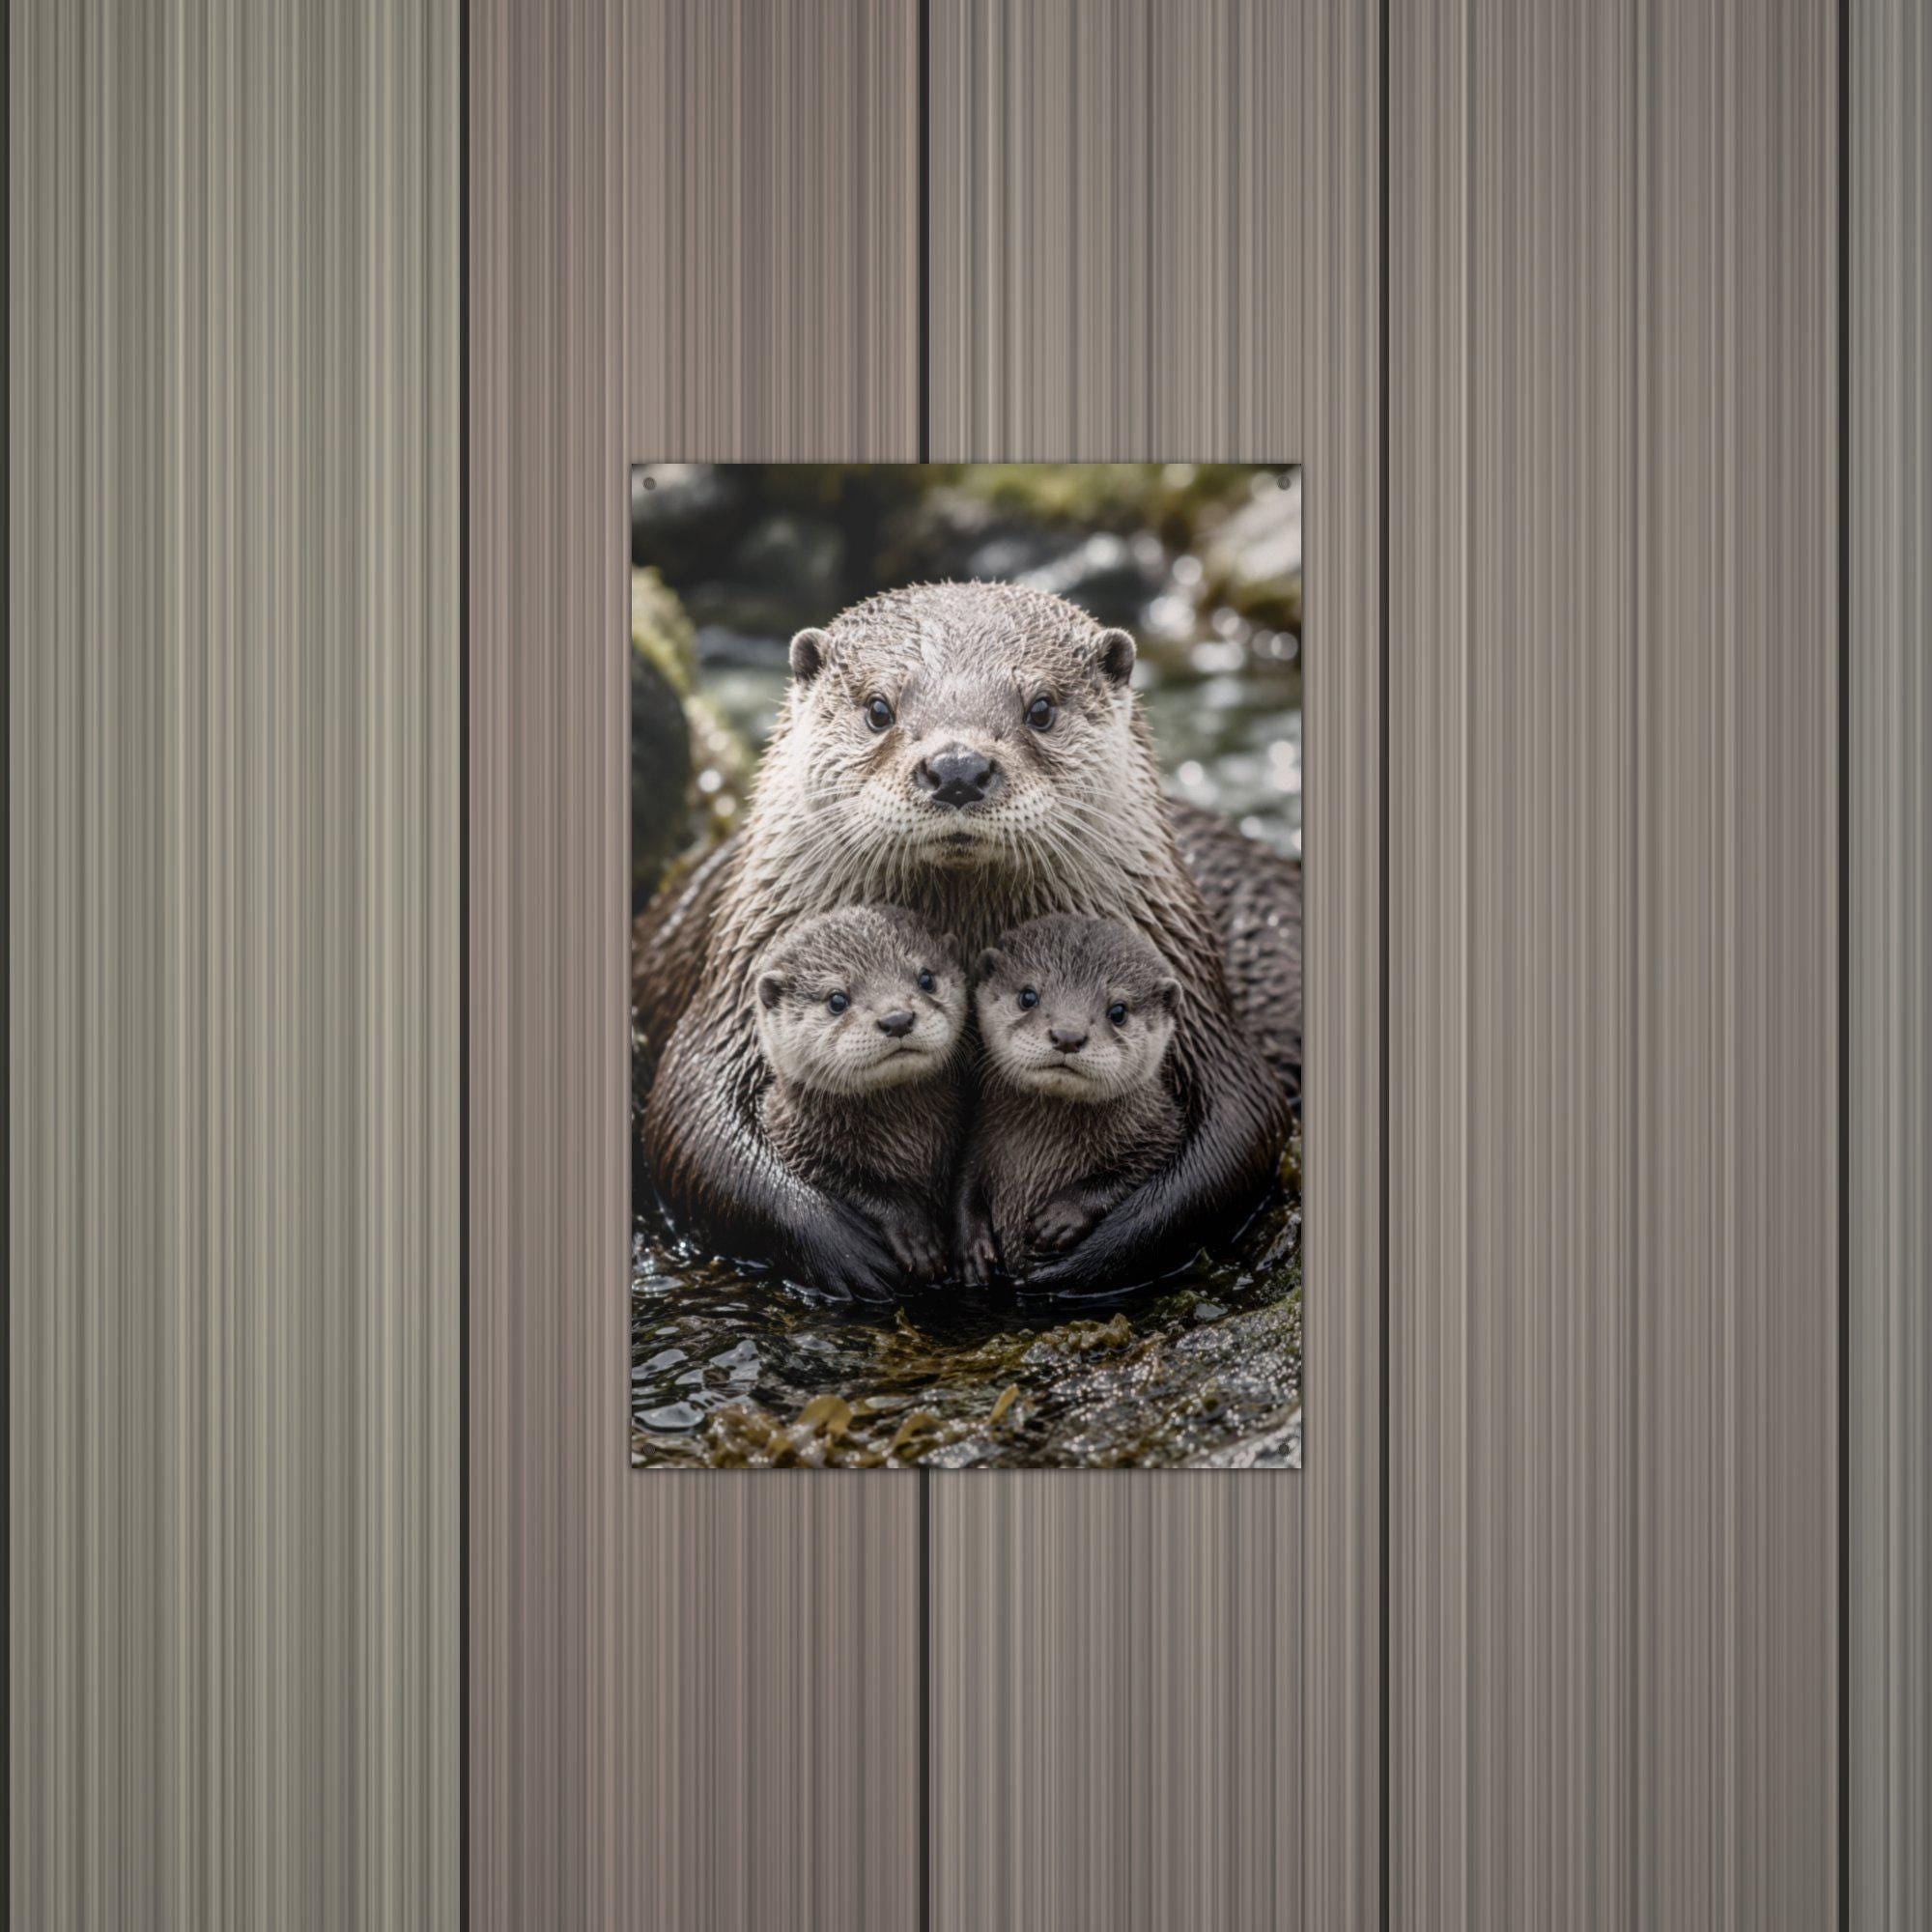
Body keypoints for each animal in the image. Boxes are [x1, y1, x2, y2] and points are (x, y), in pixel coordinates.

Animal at [753, 906, 966, 1283]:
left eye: (926, 978)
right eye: (837, 999)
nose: (897, 1018)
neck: (908, 1141)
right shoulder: (796, 1143)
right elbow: (855, 1186)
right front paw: (915, 1235)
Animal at [954, 916, 1186, 1284]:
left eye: (1118, 1011)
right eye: (1028, 996)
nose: (1067, 1035)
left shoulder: (1164, 1128)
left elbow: (1134, 1170)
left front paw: (1062, 1215)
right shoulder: (978, 1134)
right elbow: (965, 1182)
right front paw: (972, 1244)